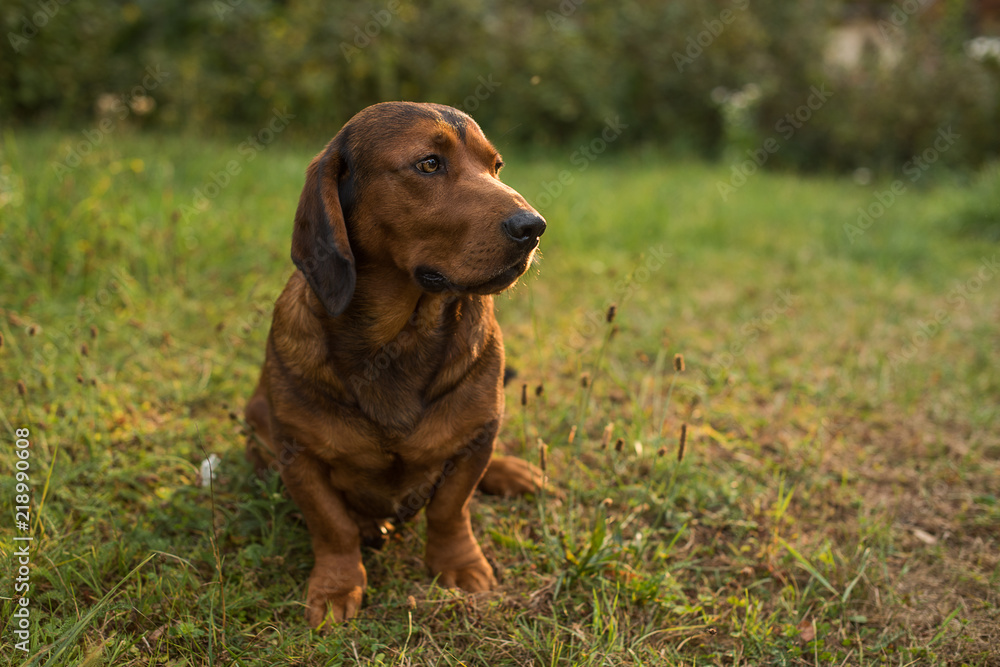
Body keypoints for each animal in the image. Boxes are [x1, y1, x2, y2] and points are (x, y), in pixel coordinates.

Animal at [247, 102, 552, 628]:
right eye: (428, 163)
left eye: (495, 167)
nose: (533, 227)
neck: (397, 337)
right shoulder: (297, 454)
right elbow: (333, 526)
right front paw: (337, 583)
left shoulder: (476, 437)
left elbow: (451, 509)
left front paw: (459, 565)